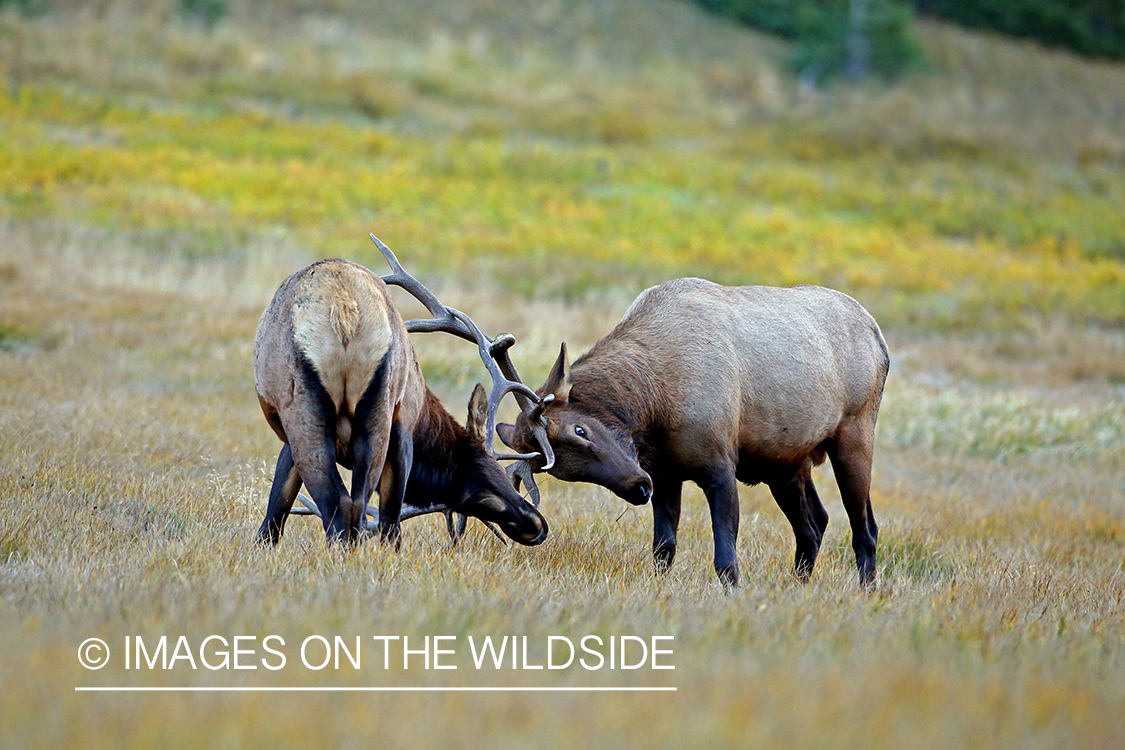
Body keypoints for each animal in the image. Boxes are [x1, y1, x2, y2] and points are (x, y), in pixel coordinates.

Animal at [253, 236, 554, 548]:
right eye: (489, 470)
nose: (535, 525)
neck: (425, 412)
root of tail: (343, 312)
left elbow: (275, 512)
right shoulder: (404, 424)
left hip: (323, 415)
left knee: (351, 507)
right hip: (370, 414)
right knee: (356, 508)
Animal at [498, 277, 889, 588]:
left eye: (581, 429)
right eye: (565, 472)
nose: (637, 487)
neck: (655, 406)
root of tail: (879, 338)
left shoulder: (719, 464)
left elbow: (726, 560)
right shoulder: (664, 474)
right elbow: (663, 549)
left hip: (855, 432)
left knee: (865, 528)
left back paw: (866, 592)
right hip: (785, 463)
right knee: (814, 524)